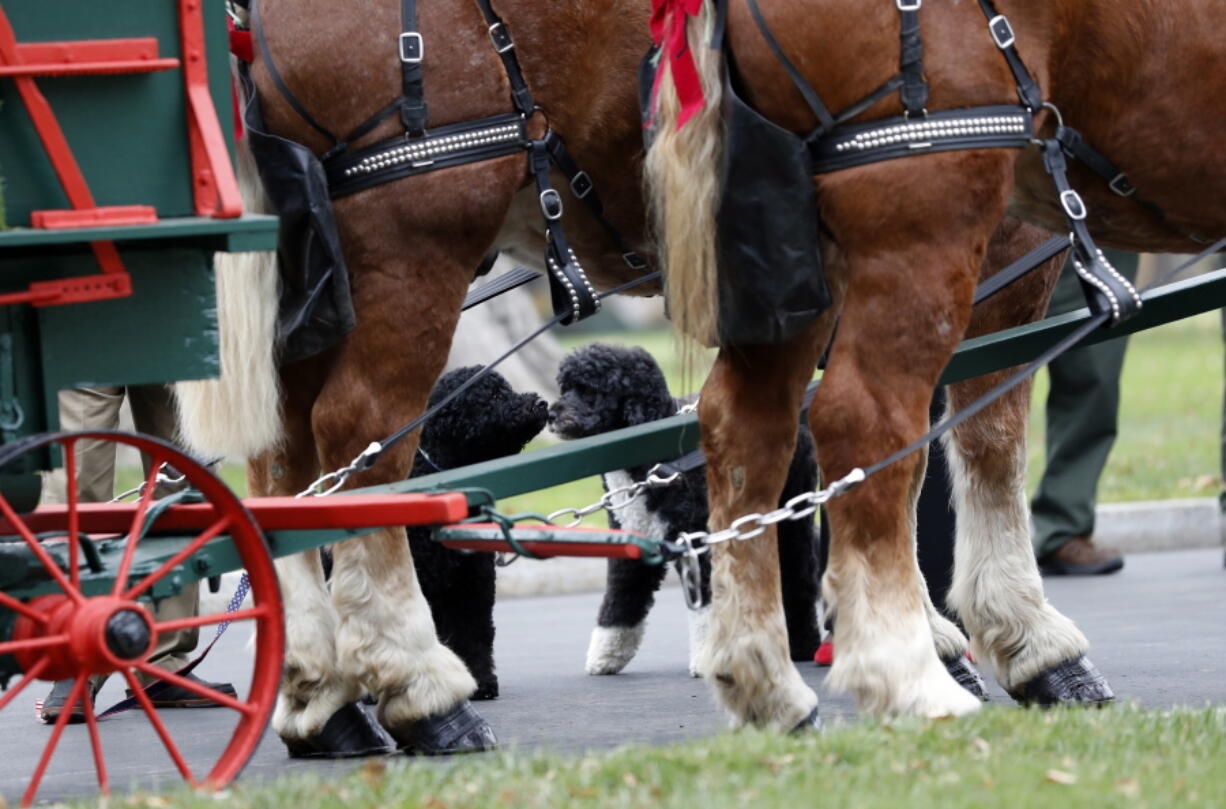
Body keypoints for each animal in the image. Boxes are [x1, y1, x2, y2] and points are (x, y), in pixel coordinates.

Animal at [549, 340, 818, 676]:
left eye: (589, 390)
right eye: (565, 387)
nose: (551, 413)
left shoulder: (697, 541)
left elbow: (706, 607)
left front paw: (706, 660)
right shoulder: (633, 539)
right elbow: (621, 597)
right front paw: (607, 654)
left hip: (792, 514)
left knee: (799, 577)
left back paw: (802, 645)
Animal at [657, 1, 1226, 725]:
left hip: (793, 248)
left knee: (749, 425)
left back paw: (766, 679)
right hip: (928, 211)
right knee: (867, 422)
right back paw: (909, 672)